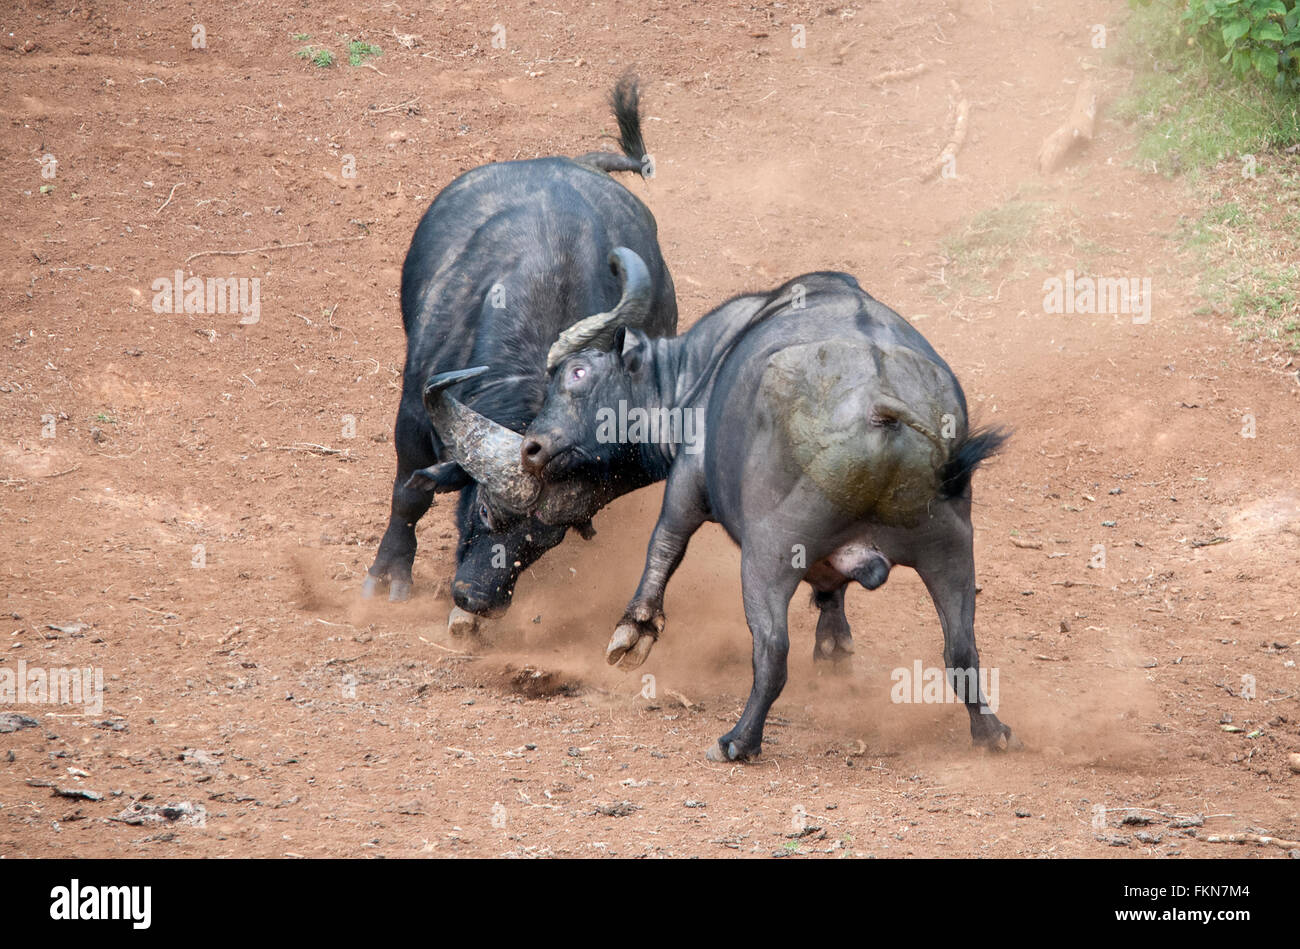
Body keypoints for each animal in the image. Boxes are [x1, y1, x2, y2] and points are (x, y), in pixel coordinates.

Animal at [361, 75, 676, 637]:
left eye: (547, 540)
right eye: (487, 512)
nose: (479, 598)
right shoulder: (414, 416)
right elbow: (410, 493)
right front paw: (390, 571)